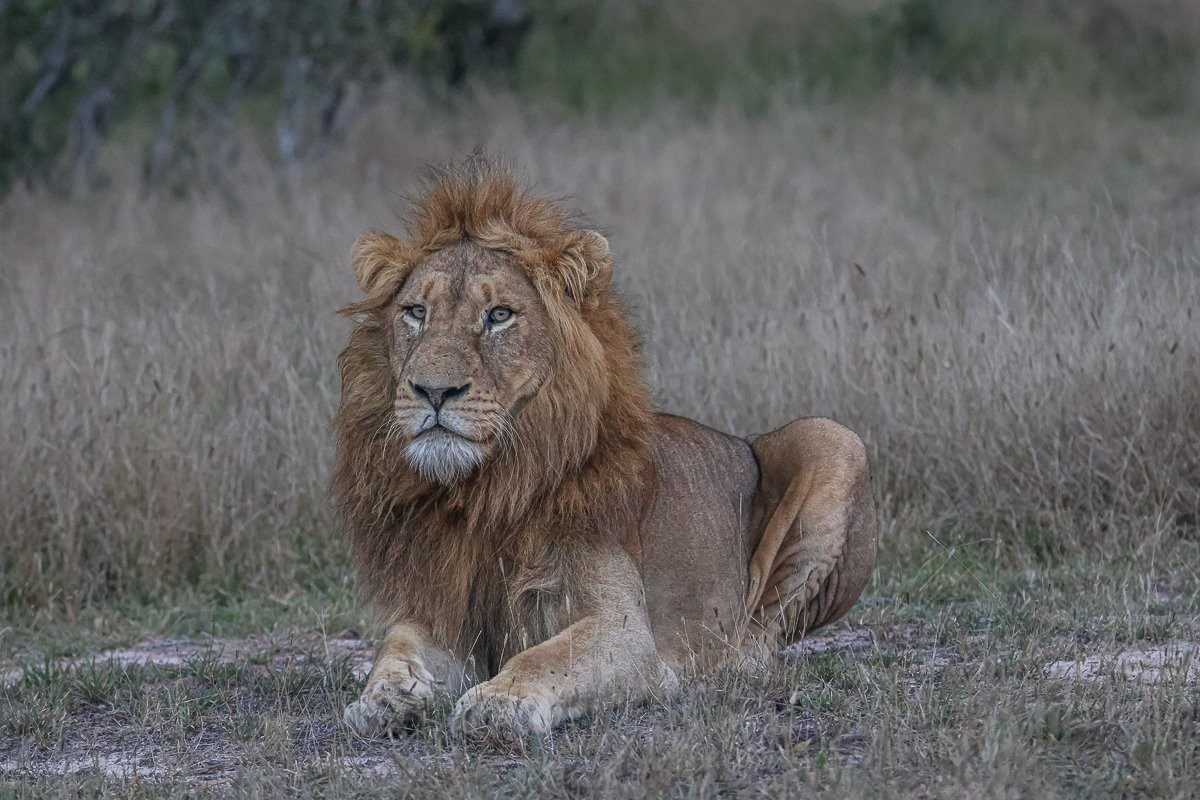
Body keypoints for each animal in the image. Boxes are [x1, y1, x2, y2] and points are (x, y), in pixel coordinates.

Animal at [333, 156, 877, 742]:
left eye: (499, 315)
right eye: (415, 312)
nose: (433, 391)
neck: (486, 490)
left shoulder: (625, 630)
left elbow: (544, 657)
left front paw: (498, 701)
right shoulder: (445, 613)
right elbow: (397, 645)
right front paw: (383, 698)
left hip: (833, 439)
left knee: (766, 636)